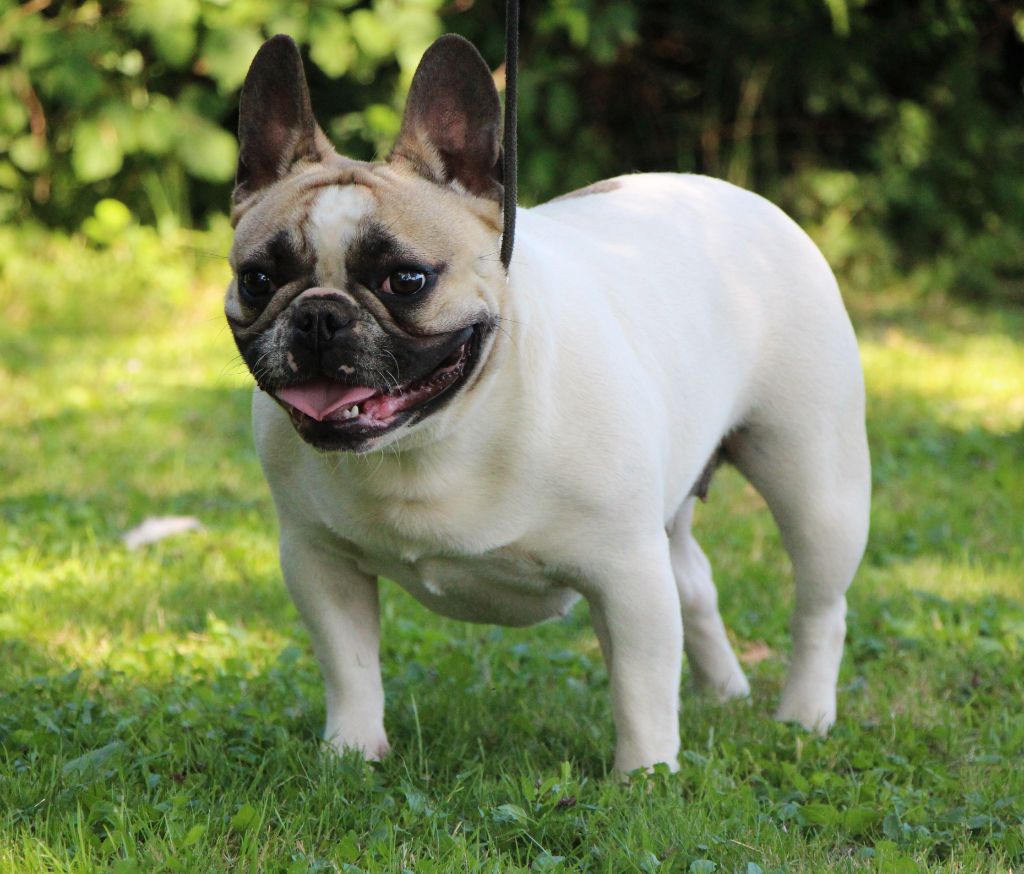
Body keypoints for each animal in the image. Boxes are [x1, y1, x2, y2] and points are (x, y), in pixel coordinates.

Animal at [226, 34, 872, 773]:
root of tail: (734, 195)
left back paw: (805, 714)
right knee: (696, 582)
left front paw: (645, 775)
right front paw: (352, 753)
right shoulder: (318, 561)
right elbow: (350, 665)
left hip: (816, 483)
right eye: (258, 279)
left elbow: (641, 685)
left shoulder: (626, 573)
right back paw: (725, 690)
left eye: (406, 280)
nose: (319, 316)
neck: (434, 438)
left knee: (820, 606)